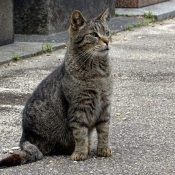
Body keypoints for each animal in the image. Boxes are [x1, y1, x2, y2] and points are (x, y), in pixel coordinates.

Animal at [0, 8, 112, 168]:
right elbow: (80, 134)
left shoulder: (105, 104)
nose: (107, 41)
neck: (97, 71)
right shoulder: (78, 107)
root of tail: (24, 136)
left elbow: (104, 130)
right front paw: (80, 152)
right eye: (94, 34)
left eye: (107, 32)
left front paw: (103, 149)